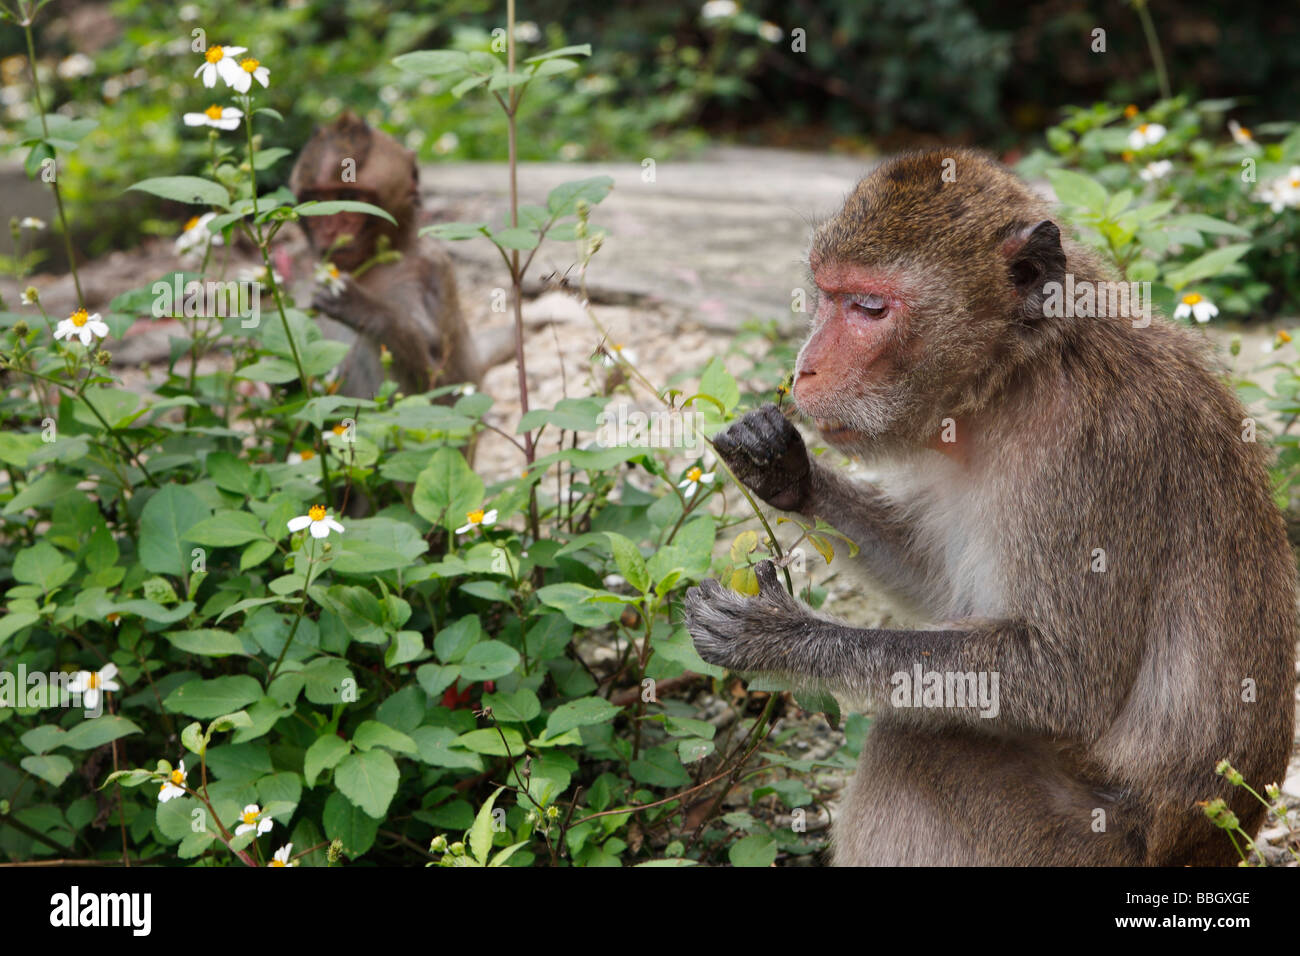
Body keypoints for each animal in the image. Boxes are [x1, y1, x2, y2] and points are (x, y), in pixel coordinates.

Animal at [290, 112, 482, 399]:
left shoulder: (435, 268)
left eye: (348, 196)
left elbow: (444, 380)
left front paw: (365, 308)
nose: (330, 228)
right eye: (316, 200)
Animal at [684, 148, 1297, 866]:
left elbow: (1064, 679)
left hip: (1069, 845)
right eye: (826, 295)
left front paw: (784, 638)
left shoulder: (1087, 452)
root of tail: (1216, 843)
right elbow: (932, 579)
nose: (804, 370)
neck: (1019, 374)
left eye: (869, 307)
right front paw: (782, 468)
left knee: (916, 743)